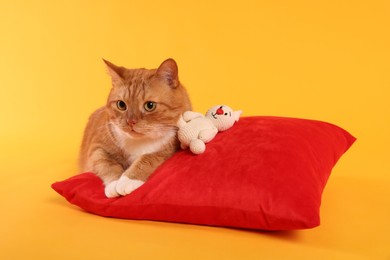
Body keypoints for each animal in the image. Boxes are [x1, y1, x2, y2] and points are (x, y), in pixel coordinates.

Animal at [79, 59, 192, 197]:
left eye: (150, 105)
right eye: (121, 105)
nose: (130, 122)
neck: (138, 142)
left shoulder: (168, 148)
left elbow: (147, 158)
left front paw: (128, 180)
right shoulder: (97, 148)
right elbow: (106, 163)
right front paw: (114, 184)